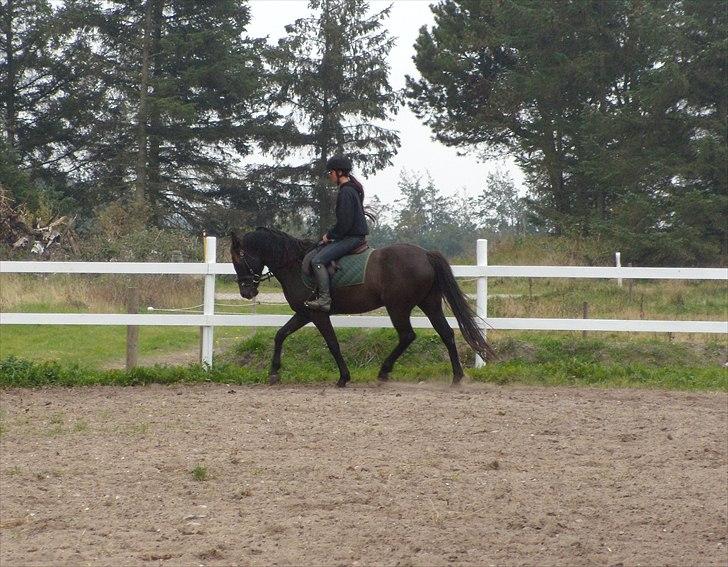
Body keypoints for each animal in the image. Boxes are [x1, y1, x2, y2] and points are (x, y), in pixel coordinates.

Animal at [233, 229, 494, 388]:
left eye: (238, 259)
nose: (246, 292)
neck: (294, 265)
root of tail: (425, 254)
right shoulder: (304, 313)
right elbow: (280, 334)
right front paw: (274, 373)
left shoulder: (317, 313)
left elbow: (332, 343)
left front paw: (343, 378)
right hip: (429, 304)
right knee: (446, 333)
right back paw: (457, 377)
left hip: (398, 307)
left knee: (408, 335)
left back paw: (384, 371)